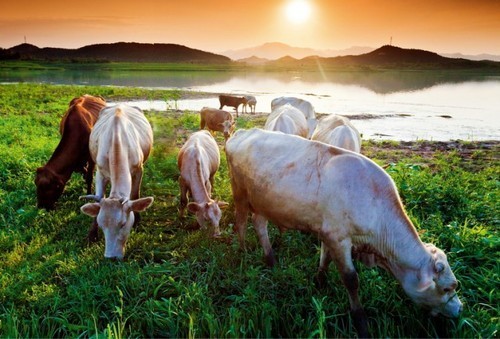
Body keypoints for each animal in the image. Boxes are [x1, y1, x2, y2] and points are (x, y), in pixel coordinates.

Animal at [80, 105, 153, 258]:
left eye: (123, 224)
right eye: (102, 225)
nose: (111, 257)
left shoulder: (139, 170)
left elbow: (135, 195)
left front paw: (137, 221)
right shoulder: (100, 172)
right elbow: (99, 197)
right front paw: (92, 235)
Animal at [225, 129, 462, 338]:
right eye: (448, 288)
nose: (460, 310)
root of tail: (243, 132)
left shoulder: (328, 232)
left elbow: (324, 258)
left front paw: (319, 283)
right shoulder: (339, 238)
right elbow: (351, 279)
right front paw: (361, 324)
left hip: (262, 201)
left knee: (259, 224)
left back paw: (271, 259)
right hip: (240, 193)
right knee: (241, 222)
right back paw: (243, 252)